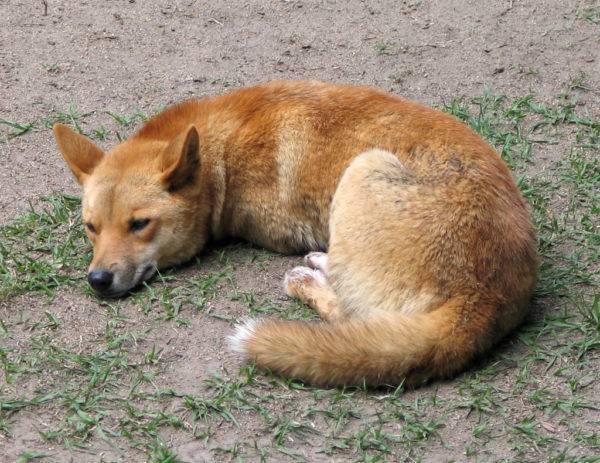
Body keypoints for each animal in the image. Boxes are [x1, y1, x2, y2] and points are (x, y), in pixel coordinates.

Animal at [54, 80, 536, 388]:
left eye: (139, 224)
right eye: (91, 228)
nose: (98, 280)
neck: (220, 154)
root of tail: (486, 295)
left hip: (363, 169)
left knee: (351, 315)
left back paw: (309, 278)